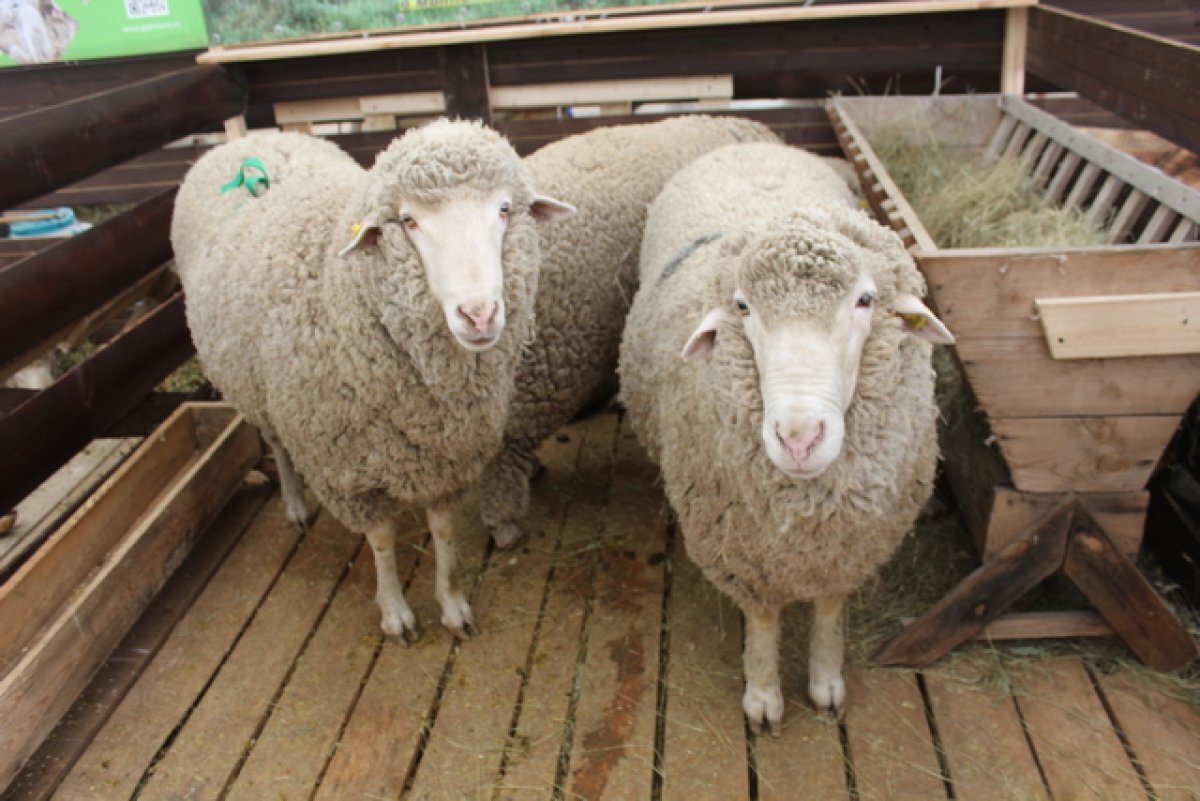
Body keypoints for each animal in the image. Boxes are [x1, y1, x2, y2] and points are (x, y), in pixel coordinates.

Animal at [170, 120, 576, 637]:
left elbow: (444, 531)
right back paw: (295, 504)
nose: (479, 315)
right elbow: (380, 538)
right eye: (408, 221)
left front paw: (452, 605)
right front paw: (395, 612)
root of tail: (249, 141)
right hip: (258, 391)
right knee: (277, 444)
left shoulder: (445, 457)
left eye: (504, 209)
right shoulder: (347, 468)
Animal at [619, 142, 955, 733]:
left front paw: (826, 683)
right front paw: (763, 697)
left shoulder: (847, 548)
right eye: (743, 306)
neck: (807, 521)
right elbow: (763, 620)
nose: (799, 438)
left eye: (865, 300)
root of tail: (750, 145)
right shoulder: (741, 552)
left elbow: (828, 611)